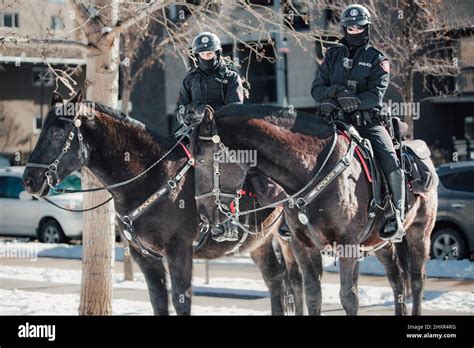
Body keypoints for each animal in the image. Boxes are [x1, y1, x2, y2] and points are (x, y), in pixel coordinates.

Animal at [195, 103, 436, 316]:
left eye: (198, 161)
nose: (204, 215)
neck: (312, 170)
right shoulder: (303, 245)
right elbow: (312, 295)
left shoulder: (347, 245)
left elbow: (349, 298)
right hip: (378, 242)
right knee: (396, 277)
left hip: (419, 232)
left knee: (417, 279)